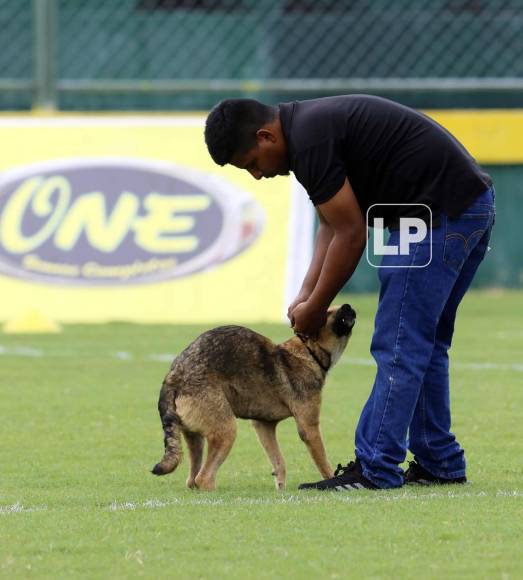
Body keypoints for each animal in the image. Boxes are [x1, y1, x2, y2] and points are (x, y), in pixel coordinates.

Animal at [151, 304, 356, 490]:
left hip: (195, 438)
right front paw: (331, 481)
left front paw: (280, 488)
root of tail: (174, 376)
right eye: (327, 312)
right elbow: (323, 462)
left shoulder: (263, 425)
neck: (308, 352)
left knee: (192, 480)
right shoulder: (309, 427)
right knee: (203, 478)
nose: (348, 306)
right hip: (226, 431)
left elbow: (279, 462)